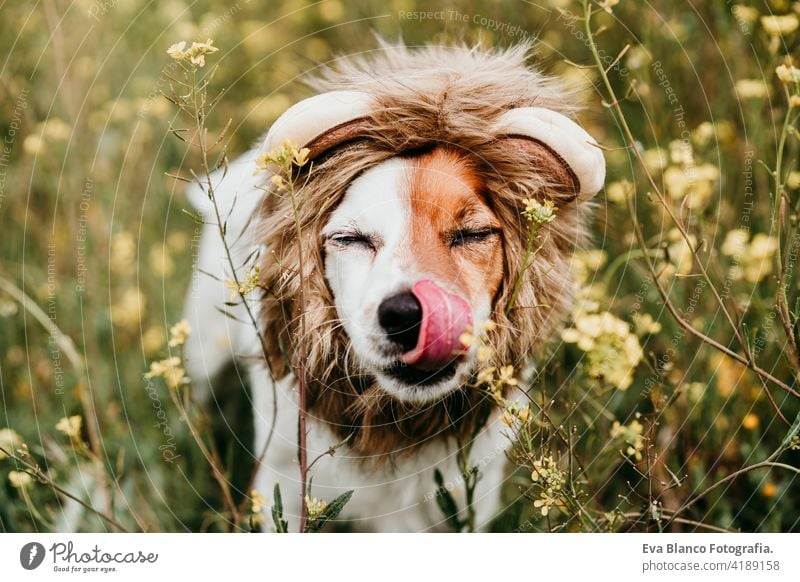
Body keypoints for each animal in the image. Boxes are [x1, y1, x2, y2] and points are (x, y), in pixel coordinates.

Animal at [183, 42, 608, 532]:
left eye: (473, 234)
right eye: (349, 238)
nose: (408, 314)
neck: (393, 427)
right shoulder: (283, 487)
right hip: (202, 349)